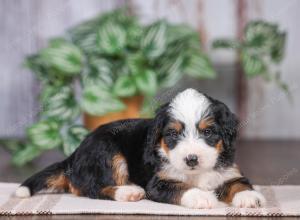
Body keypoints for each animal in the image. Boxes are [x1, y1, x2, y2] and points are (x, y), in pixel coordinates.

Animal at [16, 88, 264, 209]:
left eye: (208, 132)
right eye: (172, 134)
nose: (191, 159)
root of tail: (75, 153)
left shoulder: (228, 169)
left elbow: (238, 182)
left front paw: (250, 197)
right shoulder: (159, 181)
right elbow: (181, 187)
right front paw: (202, 197)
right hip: (108, 151)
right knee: (91, 188)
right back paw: (129, 192)